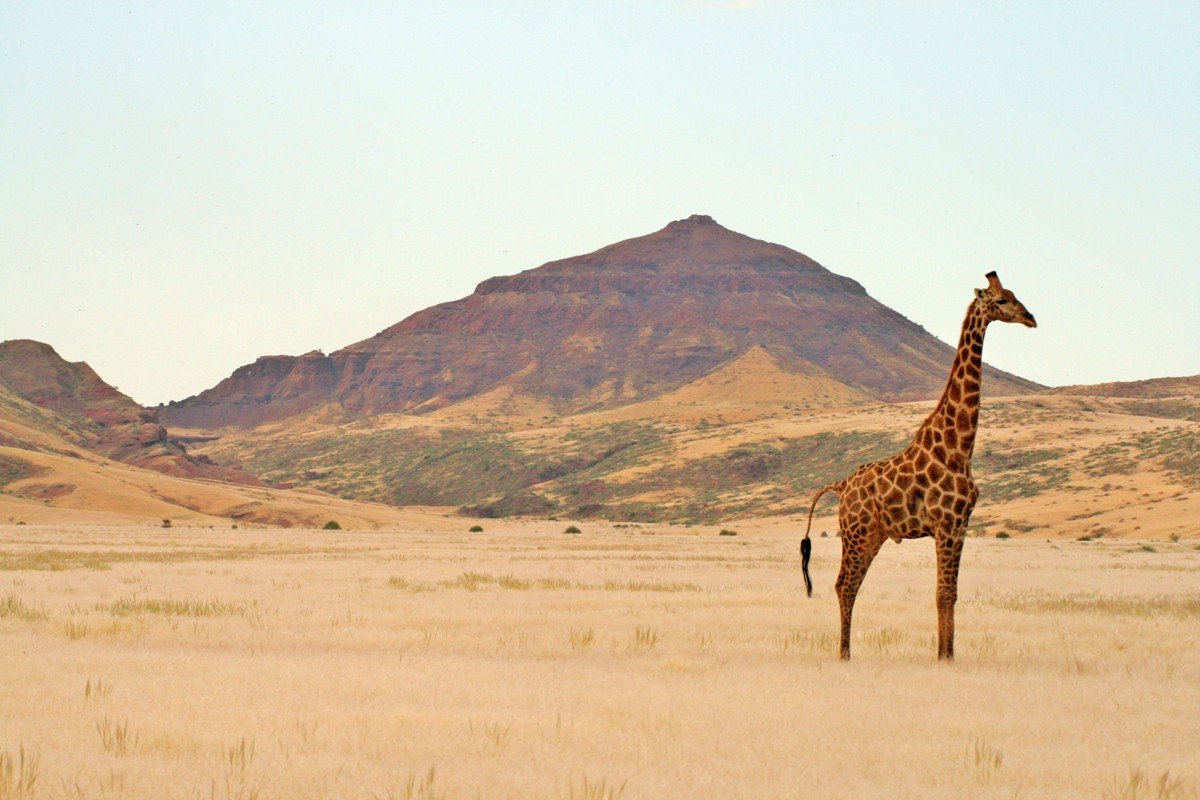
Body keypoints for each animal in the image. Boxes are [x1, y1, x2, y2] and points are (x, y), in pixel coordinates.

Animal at [801, 272, 1036, 662]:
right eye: (1001, 300)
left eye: (1015, 294)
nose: (1031, 318)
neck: (959, 447)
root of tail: (841, 486)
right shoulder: (946, 524)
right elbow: (943, 594)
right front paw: (943, 658)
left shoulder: (960, 526)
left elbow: (951, 594)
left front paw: (949, 655)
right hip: (856, 531)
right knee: (845, 585)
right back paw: (844, 655)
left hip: (873, 535)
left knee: (848, 584)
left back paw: (846, 652)